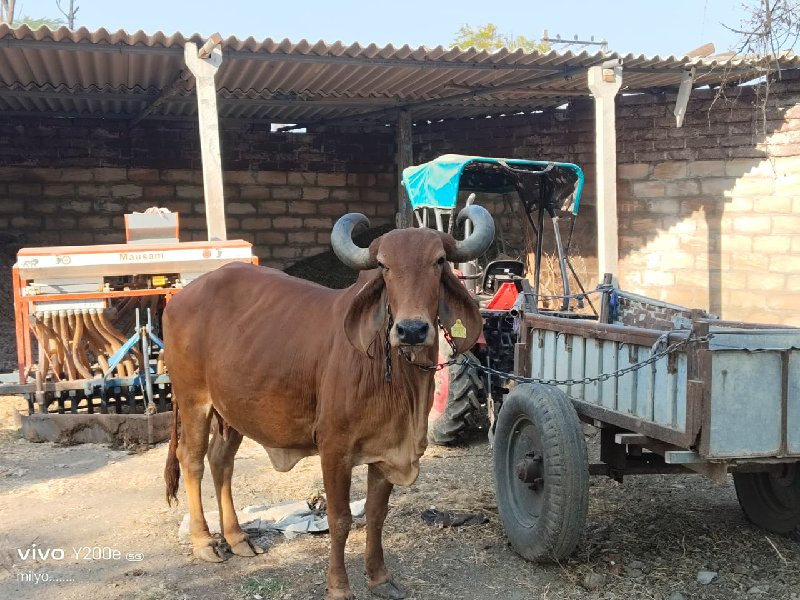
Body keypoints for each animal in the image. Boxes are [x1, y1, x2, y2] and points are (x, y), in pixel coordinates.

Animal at [163, 204, 494, 596]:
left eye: (439, 261)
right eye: (383, 265)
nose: (411, 330)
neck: (398, 379)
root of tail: (181, 298)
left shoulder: (385, 450)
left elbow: (376, 516)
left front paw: (380, 577)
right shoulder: (334, 448)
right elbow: (340, 519)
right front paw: (338, 586)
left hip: (231, 411)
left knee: (221, 462)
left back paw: (237, 538)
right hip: (193, 400)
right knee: (192, 460)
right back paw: (204, 542)